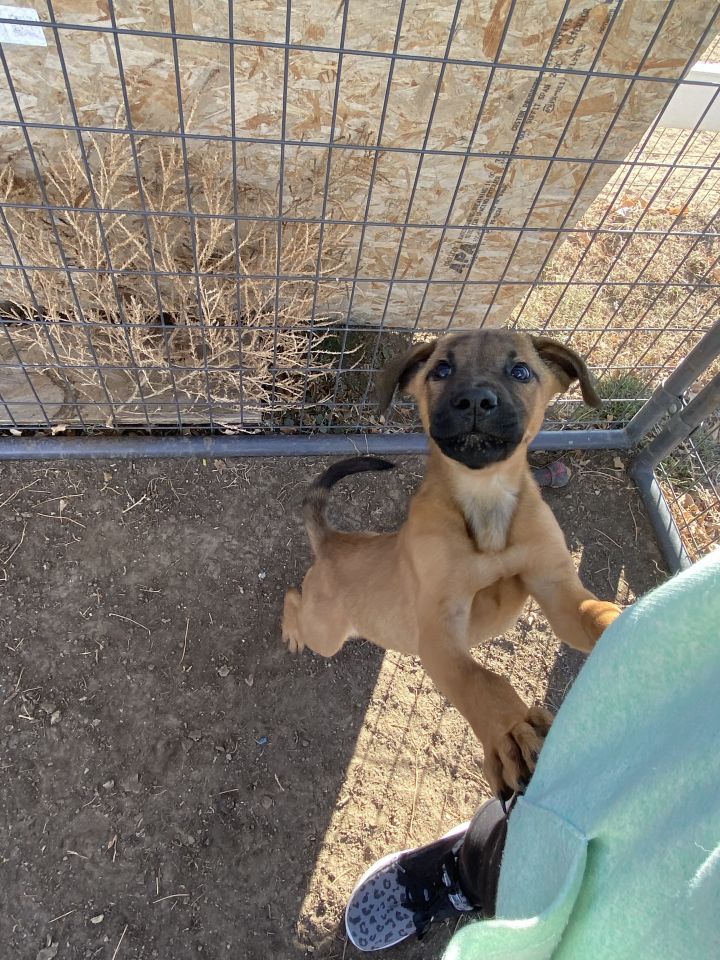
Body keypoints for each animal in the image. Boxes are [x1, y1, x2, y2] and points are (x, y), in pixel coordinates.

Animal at [284, 330, 620, 796]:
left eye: (521, 371)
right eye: (441, 369)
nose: (475, 400)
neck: (485, 496)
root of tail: (334, 541)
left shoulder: (558, 592)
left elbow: (595, 612)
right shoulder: (440, 633)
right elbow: (482, 680)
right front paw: (511, 732)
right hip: (325, 632)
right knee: (292, 597)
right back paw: (290, 630)